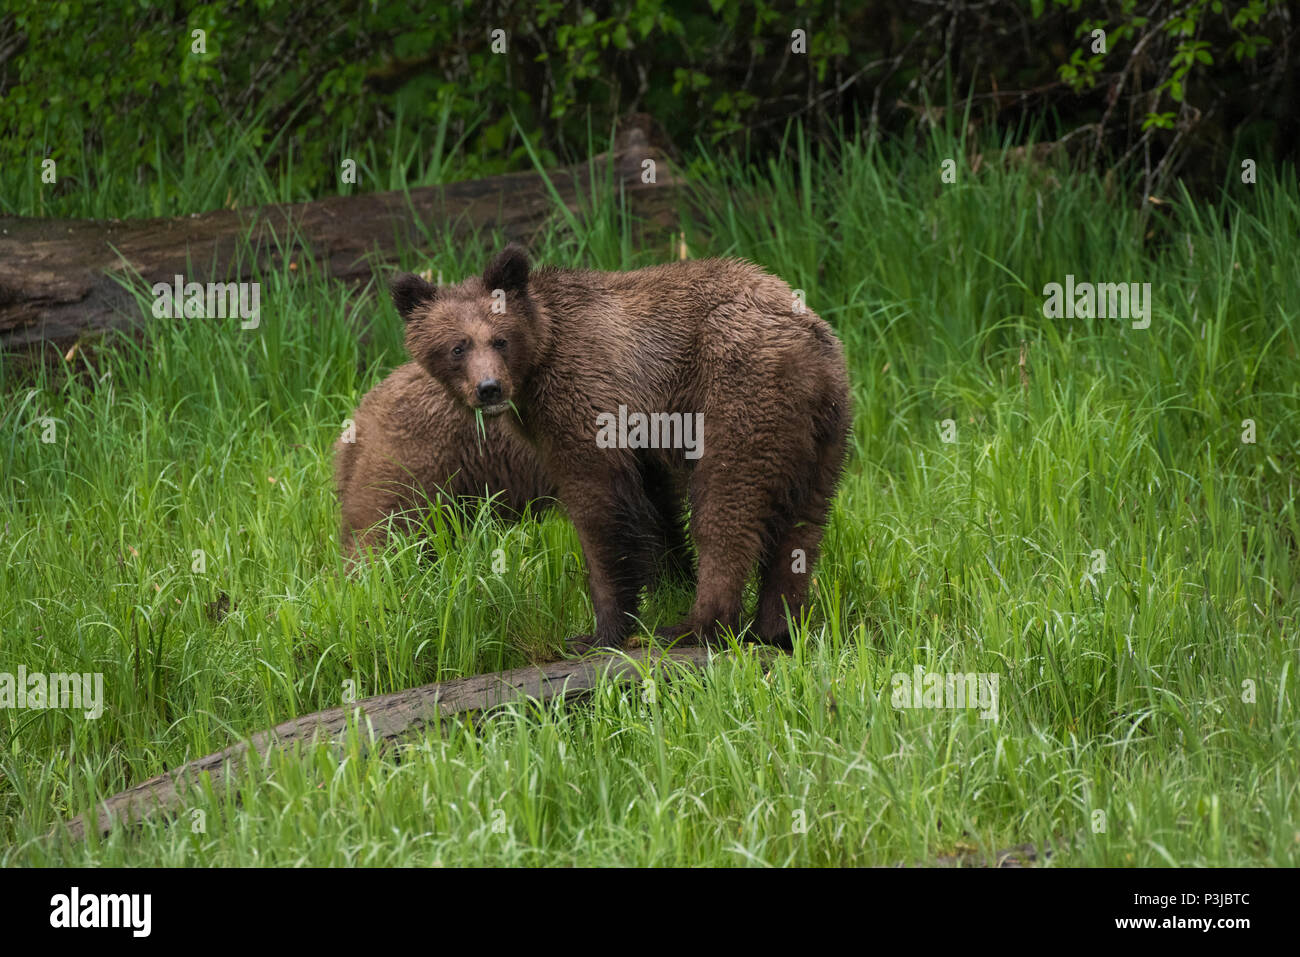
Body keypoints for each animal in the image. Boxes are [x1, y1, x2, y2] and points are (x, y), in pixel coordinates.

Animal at [390, 247, 847, 650]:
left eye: (500, 340)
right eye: (458, 346)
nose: (489, 389)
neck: (540, 356)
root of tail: (808, 343)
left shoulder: (583, 397)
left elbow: (600, 509)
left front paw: (599, 631)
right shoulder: (643, 431)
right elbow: (657, 507)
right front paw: (670, 581)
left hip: (739, 391)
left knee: (726, 506)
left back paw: (696, 627)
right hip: (822, 430)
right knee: (803, 524)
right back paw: (778, 626)